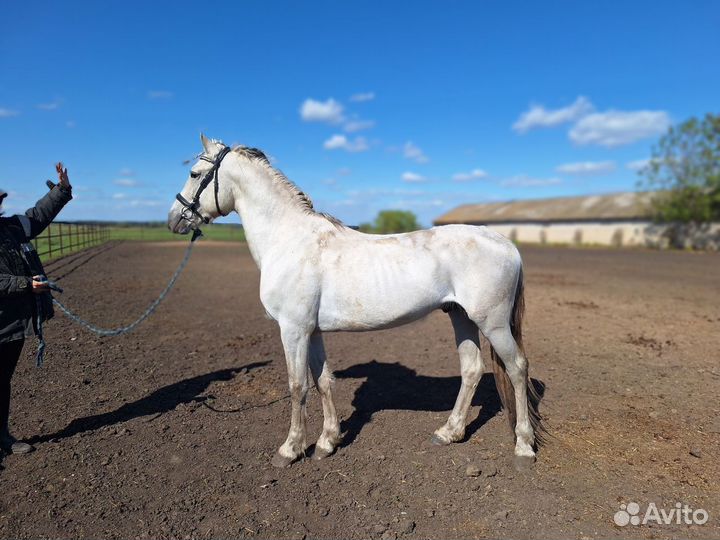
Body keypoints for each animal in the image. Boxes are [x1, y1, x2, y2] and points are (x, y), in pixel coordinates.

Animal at [168, 134, 542, 469]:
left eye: (195, 174)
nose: (173, 219)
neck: (289, 240)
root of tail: (505, 243)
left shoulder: (293, 330)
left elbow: (297, 386)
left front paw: (290, 450)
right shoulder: (312, 331)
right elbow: (322, 381)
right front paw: (327, 442)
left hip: (492, 323)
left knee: (517, 367)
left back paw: (523, 448)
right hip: (460, 316)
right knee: (471, 369)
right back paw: (448, 433)